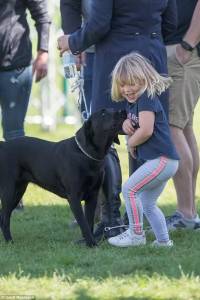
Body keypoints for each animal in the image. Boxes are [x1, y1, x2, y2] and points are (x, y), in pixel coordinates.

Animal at [0, 109, 125, 247]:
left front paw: (87, 242)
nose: (122, 111)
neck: (86, 155)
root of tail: (3, 146)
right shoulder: (74, 197)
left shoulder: (92, 195)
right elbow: (83, 222)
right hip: (10, 191)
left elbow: (89, 221)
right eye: (103, 113)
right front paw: (91, 244)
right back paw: (9, 241)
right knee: (5, 218)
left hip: (18, 191)